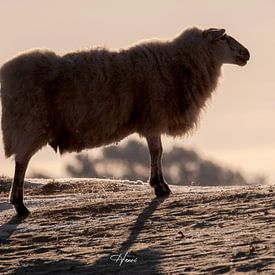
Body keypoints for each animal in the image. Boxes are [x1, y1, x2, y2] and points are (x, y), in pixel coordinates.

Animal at [0, 27, 250, 217]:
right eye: (224, 38)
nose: (247, 53)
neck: (179, 63)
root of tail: (7, 73)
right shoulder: (153, 118)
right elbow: (157, 151)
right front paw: (160, 187)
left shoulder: (152, 122)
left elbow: (157, 152)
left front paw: (159, 184)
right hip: (30, 125)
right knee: (21, 163)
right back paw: (20, 206)